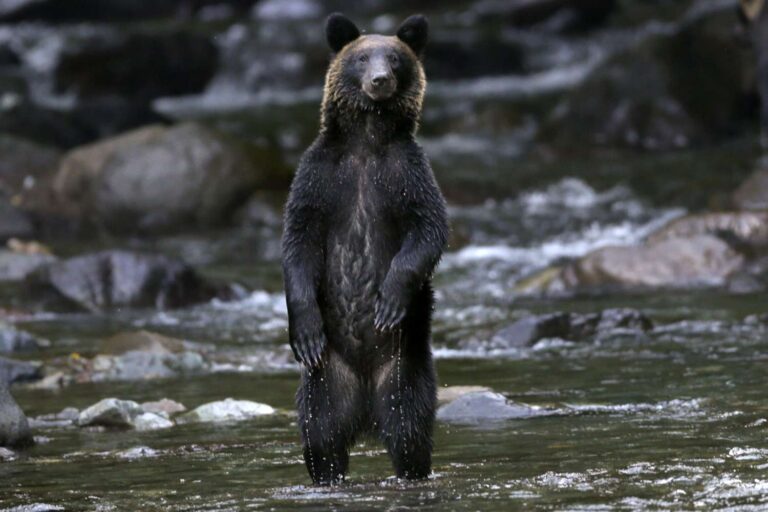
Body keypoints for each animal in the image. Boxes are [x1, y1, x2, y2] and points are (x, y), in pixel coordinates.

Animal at [281, 13, 449, 485]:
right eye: (361, 58)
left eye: (394, 58)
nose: (379, 80)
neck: (367, 141)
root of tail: (365, 410)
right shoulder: (319, 180)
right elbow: (297, 243)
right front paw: (304, 329)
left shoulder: (406, 175)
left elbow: (428, 230)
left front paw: (389, 301)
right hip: (325, 380)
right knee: (321, 438)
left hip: (403, 370)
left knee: (410, 431)